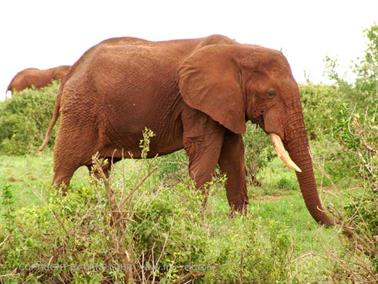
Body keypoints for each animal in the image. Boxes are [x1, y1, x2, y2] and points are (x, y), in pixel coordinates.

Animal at [39, 35, 334, 226]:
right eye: (271, 94)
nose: (335, 223)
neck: (239, 51)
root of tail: (69, 74)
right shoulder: (195, 104)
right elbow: (205, 151)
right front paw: (192, 223)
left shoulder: (227, 105)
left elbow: (233, 154)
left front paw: (241, 226)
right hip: (81, 112)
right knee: (65, 168)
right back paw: (58, 219)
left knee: (100, 169)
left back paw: (107, 217)